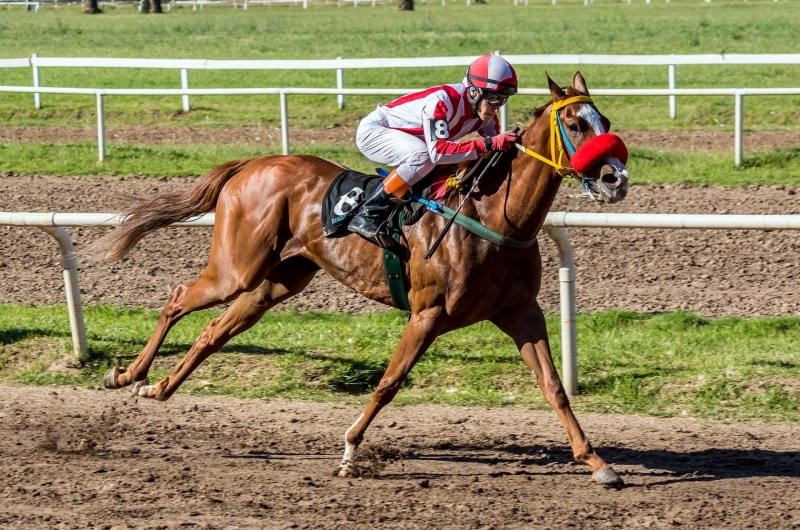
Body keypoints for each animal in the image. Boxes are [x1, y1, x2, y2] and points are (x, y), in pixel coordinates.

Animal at [95, 72, 632, 484]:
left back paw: (157, 388)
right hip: (236, 268)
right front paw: (351, 451)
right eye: (574, 123)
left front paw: (596, 462)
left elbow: (554, 387)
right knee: (177, 297)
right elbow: (389, 382)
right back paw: (126, 374)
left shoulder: (520, 311)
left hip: (276, 281)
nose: (616, 179)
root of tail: (256, 162)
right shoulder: (427, 313)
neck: (495, 218)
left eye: (604, 122)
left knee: (213, 331)